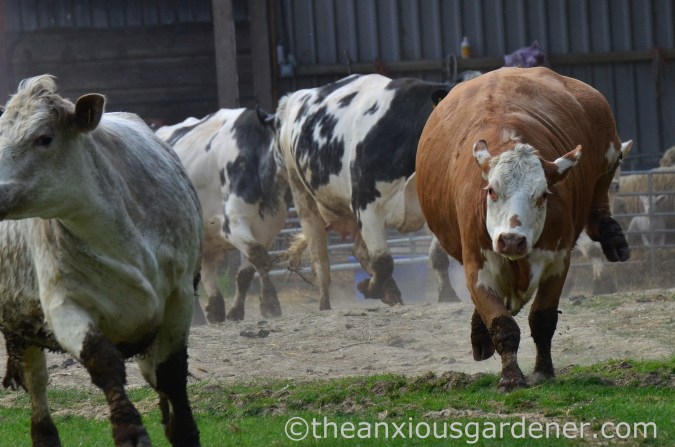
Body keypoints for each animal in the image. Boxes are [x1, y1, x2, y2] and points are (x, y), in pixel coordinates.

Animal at [0, 75, 202, 446]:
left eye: (44, 138)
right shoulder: (62, 303)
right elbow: (103, 361)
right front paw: (130, 431)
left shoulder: (179, 296)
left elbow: (170, 372)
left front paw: (181, 429)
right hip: (23, 320)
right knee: (37, 384)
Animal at [156, 107, 288, 322]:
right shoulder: (233, 224)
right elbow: (259, 258)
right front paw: (270, 303)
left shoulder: (267, 231)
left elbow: (247, 272)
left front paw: (236, 311)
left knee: (207, 271)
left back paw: (215, 308)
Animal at [275, 73, 460, 311]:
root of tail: (292, 99)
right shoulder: (365, 205)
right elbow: (382, 262)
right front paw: (371, 289)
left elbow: (438, 254)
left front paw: (448, 295)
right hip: (301, 194)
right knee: (320, 261)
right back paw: (325, 303)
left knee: (358, 251)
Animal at [416, 67, 631, 392]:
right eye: (491, 190)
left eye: (542, 195)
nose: (511, 240)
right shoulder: (476, 266)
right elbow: (503, 324)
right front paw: (511, 376)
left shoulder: (557, 262)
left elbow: (542, 320)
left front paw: (543, 371)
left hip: (608, 147)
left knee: (603, 184)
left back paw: (611, 233)